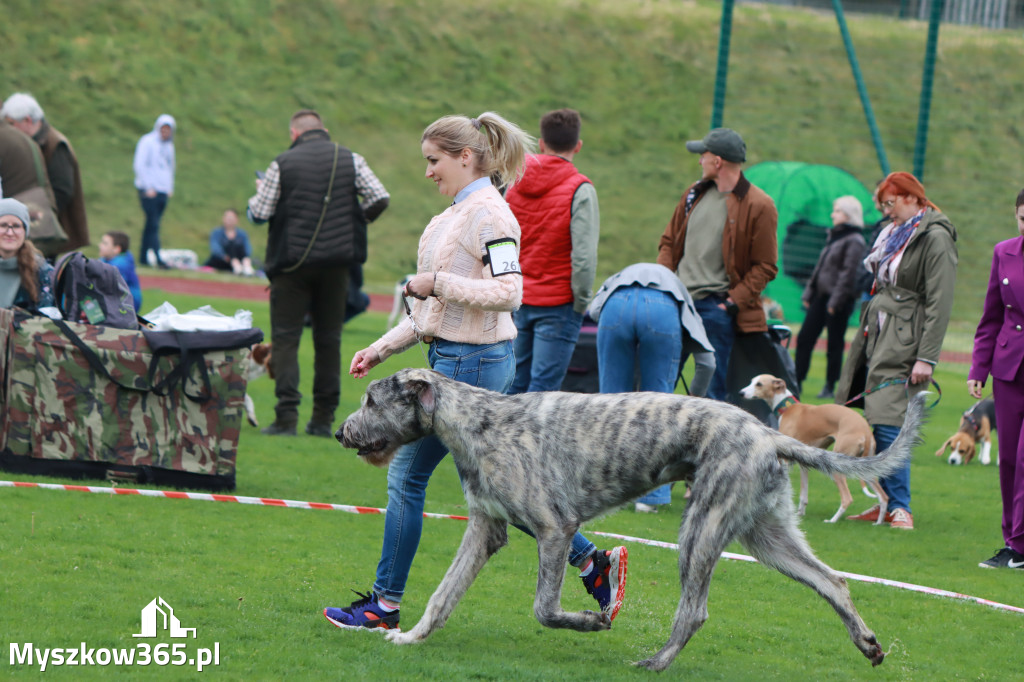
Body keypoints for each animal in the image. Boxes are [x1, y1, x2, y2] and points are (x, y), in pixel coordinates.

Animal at [337, 366, 929, 667]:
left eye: (371, 399)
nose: (341, 433)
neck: (479, 421)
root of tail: (768, 433)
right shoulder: (486, 528)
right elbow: (444, 593)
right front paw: (411, 637)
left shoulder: (554, 530)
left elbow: (544, 609)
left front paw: (591, 619)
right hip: (767, 534)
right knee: (833, 581)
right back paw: (867, 642)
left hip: (701, 528)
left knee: (695, 611)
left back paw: (657, 661)